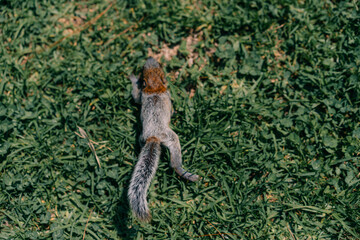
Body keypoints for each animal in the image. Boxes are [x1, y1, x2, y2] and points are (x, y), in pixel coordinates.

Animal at [127, 57, 200, 222]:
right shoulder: (164, 94)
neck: (154, 87)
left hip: (142, 136)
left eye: (157, 66)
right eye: (143, 72)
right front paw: (133, 79)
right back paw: (184, 172)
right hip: (172, 138)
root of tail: (154, 136)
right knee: (174, 162)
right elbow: (136, 96)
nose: (150, 59)